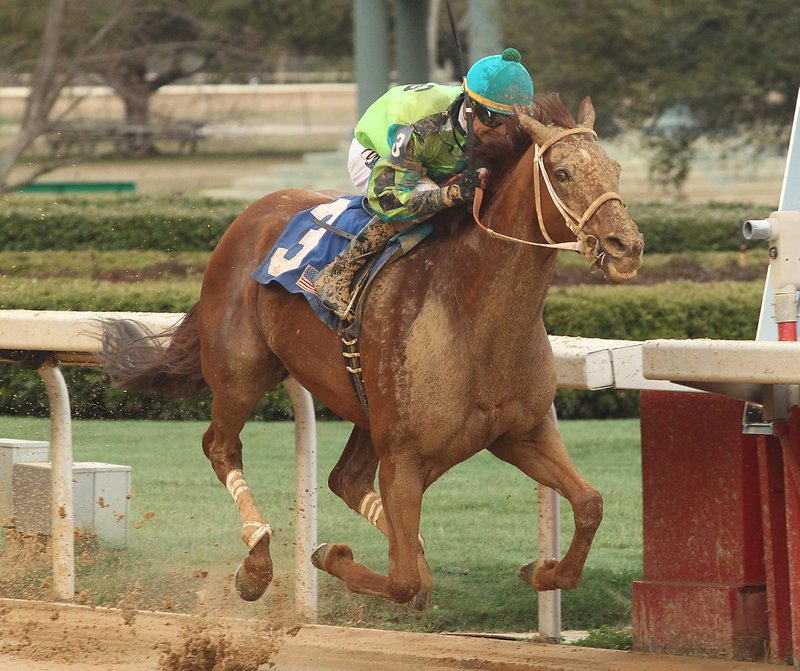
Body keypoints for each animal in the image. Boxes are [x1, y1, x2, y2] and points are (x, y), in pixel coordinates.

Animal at [98, 94, 644, 616]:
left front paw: (542, 570)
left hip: (364, 404)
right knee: (221, 447)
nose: (628, 245)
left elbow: (590, 503)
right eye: (562, 172)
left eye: (616, 168)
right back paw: (256, 562)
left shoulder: (521, 434)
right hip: (240, 373)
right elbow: (401, 581)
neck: (471, 315)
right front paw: (332, 554)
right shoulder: (403, 457)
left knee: (344, 479)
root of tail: (252, 214)